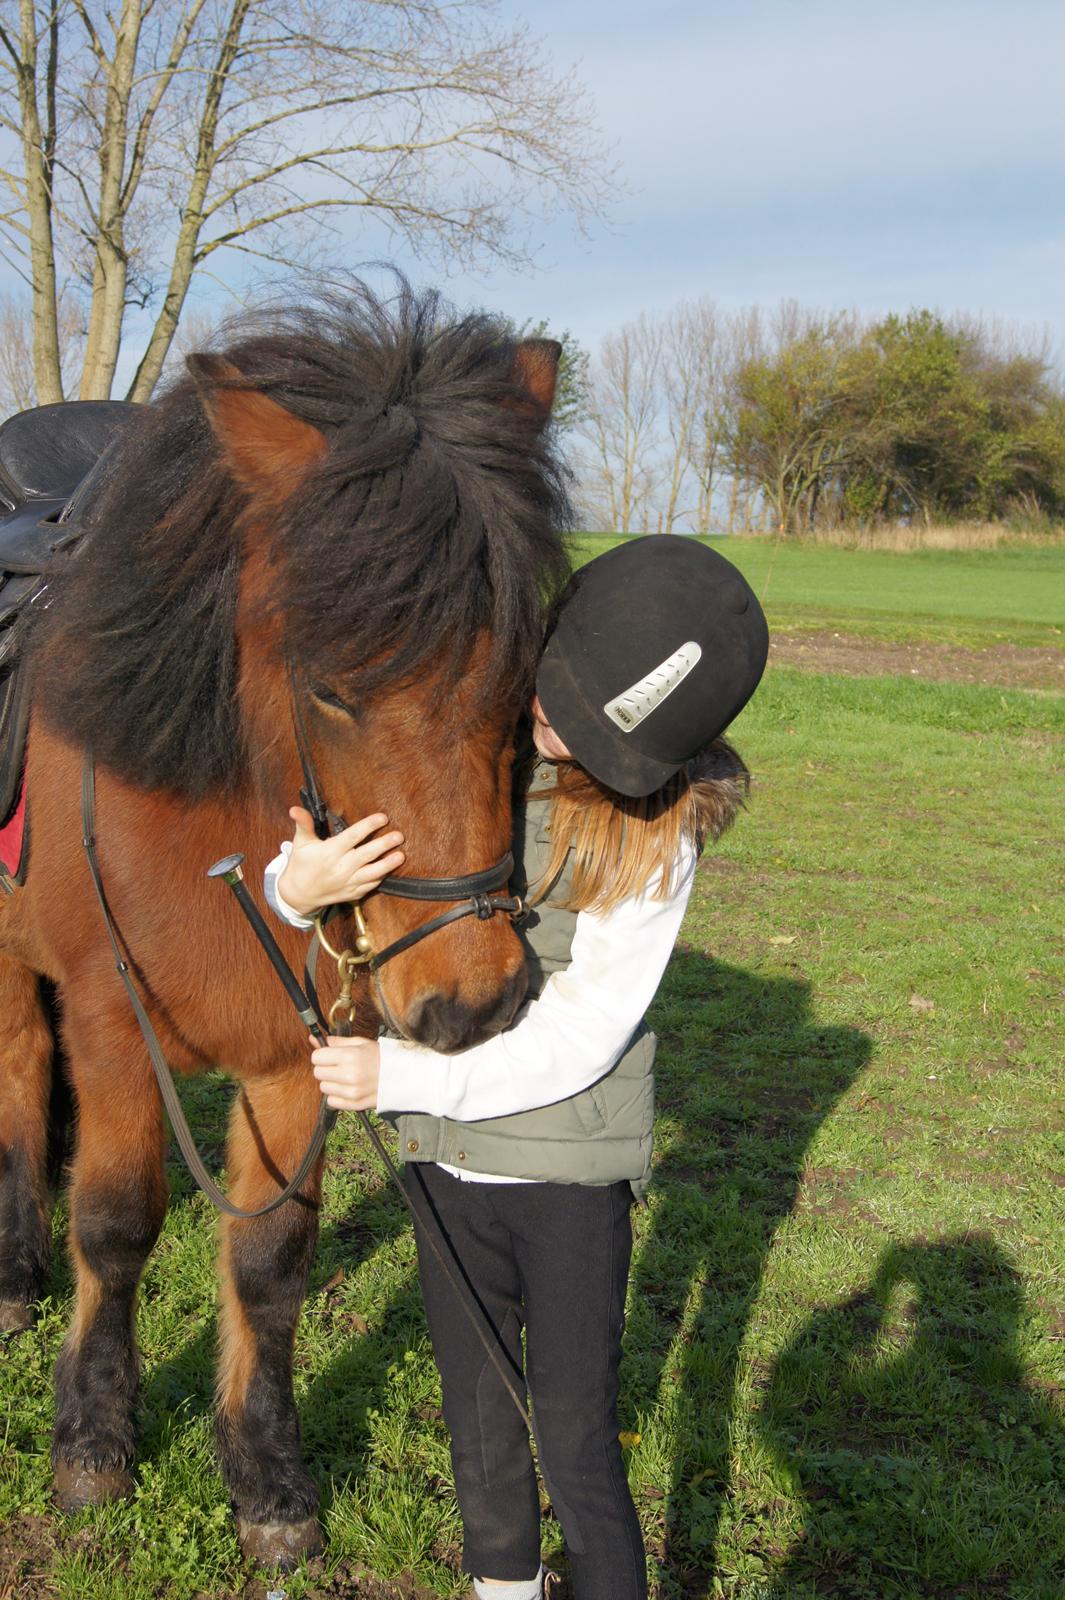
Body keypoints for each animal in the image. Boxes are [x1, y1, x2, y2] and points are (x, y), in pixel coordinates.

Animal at [0, 281, 569, 1568]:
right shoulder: (113, 1026)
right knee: (15, 1081)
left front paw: (265, 1479)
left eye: (523, 666)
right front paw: (92, 1442)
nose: (475, 997)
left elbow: (269, 1266)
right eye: (330, 686)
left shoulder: (304, 1048)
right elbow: (116, 1225)